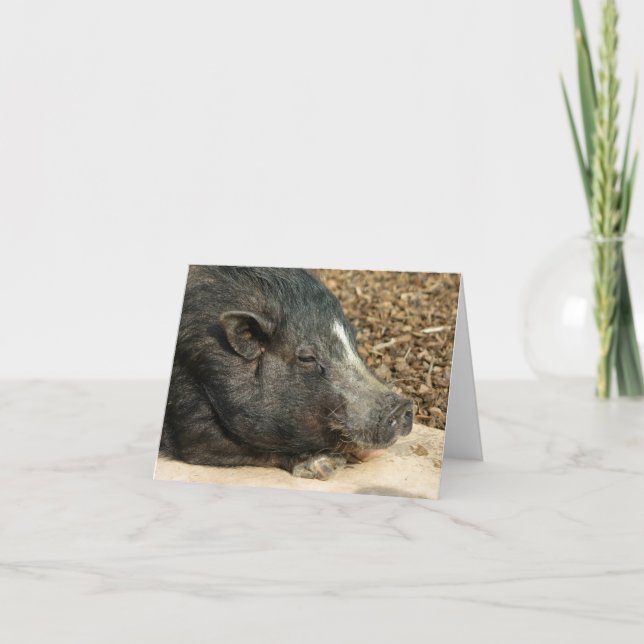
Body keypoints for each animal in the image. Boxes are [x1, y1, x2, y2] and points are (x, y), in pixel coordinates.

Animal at [160, 266, 414, 480]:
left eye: (354, 341)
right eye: (307, 358)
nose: (402, 406)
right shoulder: (187, 411)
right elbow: (213, 445)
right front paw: (326, 466)